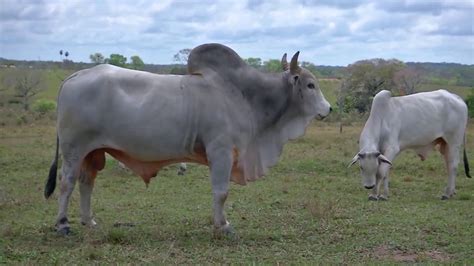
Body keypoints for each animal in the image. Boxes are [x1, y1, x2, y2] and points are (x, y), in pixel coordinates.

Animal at [46, 43, 332, 235]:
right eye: (310, 85)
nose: (328, 109)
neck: (243, 96)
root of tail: (74, 76)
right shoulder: (221, 152)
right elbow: (221, 192)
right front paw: (223, 225)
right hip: (74, 150)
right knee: (67, 182)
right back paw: (63, 225)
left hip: (93, 152)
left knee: (87, 182)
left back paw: (89, 221)